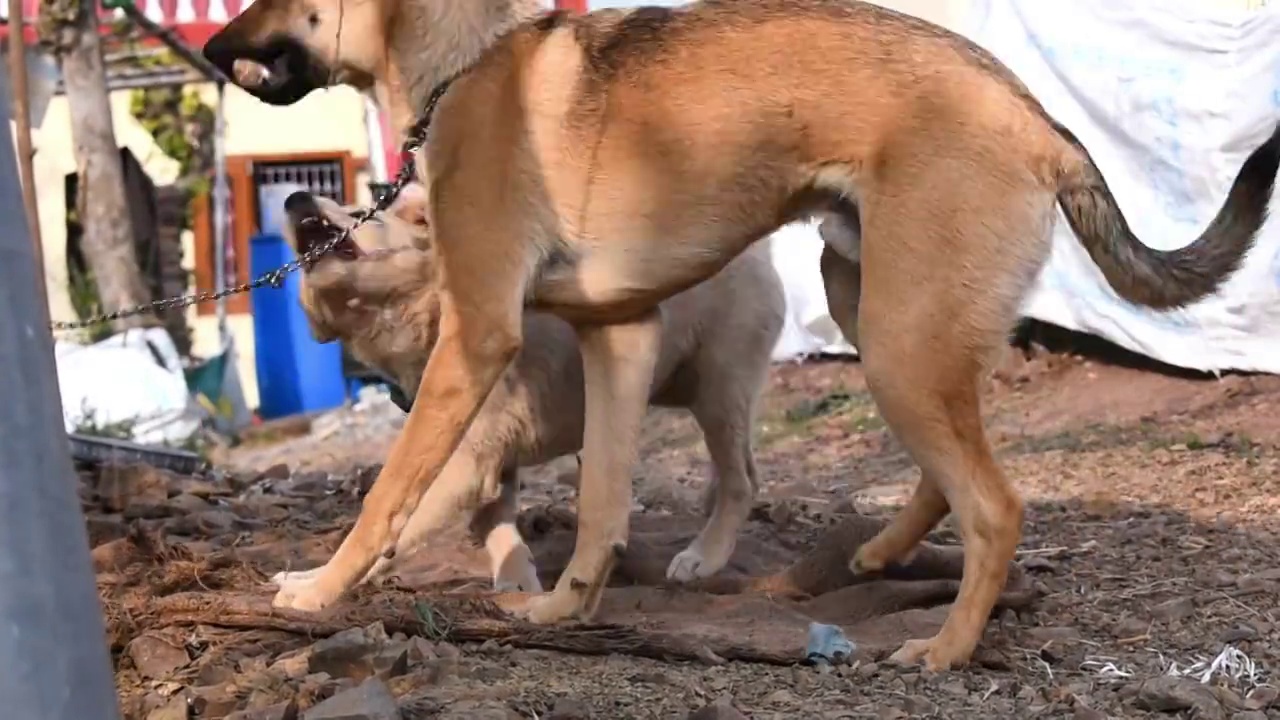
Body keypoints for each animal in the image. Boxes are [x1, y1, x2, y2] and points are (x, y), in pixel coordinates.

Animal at [281, 183, 788, 594]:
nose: (293, 197)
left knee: (743, 479)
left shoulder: (465, 465)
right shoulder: (492, 469)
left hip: (718, 390)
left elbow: (390, 526)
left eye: (361, 211)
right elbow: (495, 530)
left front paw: (317, 588)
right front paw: (517, 581)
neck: (431, 316)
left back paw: (705, 556)